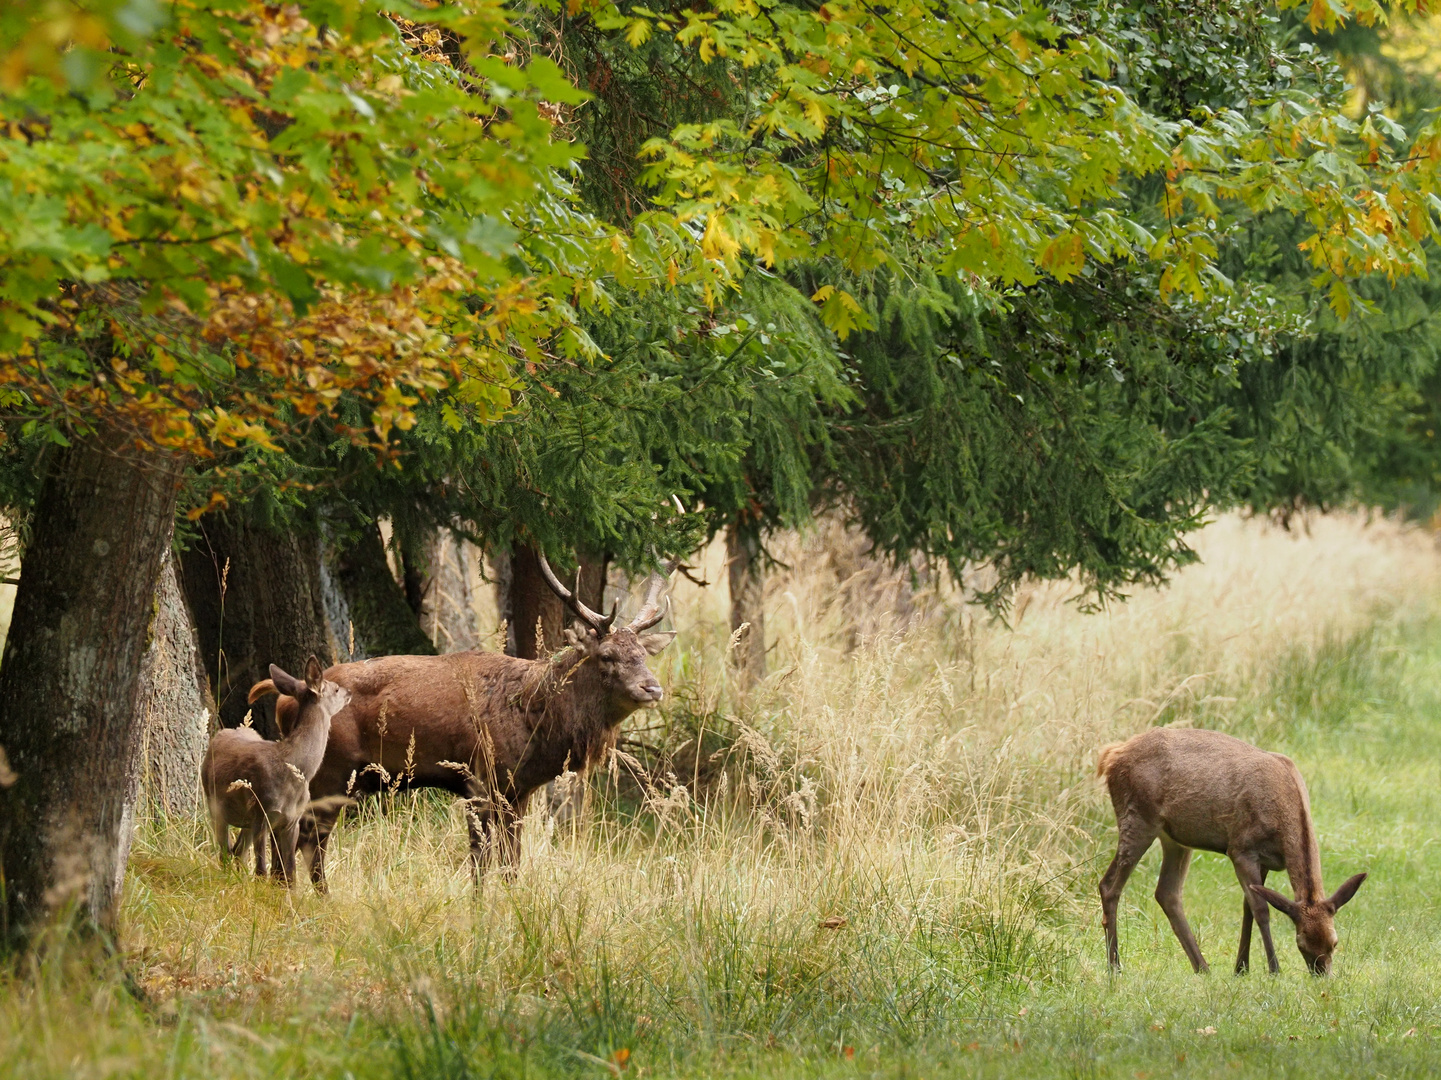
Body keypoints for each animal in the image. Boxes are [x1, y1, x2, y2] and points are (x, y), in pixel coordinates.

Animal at [203, 657, 351, 882]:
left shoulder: (292, 820)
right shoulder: (260, 811)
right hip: (216, 806)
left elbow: (289, 871)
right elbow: (262, 870)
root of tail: (221, 734)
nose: (349, 691)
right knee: (224, 851)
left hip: (245, 819)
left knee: (237, 851)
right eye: (335, 688)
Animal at [1095, 729, 1366, 974]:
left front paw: (1241, 968)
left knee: (1167, 892)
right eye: (1301, 943)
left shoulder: (1264, 860)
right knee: (1109, 885)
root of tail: (1110, 755)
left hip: (1175, 839)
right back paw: (1114, 966)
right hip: (1137, 816)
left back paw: (1202, 967)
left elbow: (1248, 907)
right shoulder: (1241, 848)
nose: (1322, 975)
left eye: (1334, 942)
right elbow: (1261, 909)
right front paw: (1273, 969)